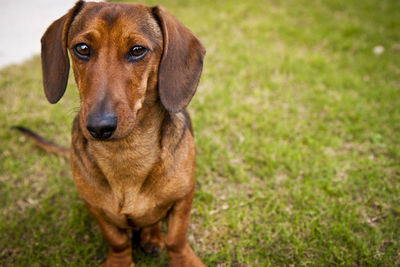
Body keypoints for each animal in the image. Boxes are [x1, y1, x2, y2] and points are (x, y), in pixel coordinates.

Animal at [16, 1, 205, 266]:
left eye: (137, 50)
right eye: (82, 48)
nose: (99, 126)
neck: (126, 153)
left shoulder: (183, 198)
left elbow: (176, 239)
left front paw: (183, 258)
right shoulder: (95, 208)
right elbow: (117, 241)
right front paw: (120, 260)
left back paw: (152, 237)